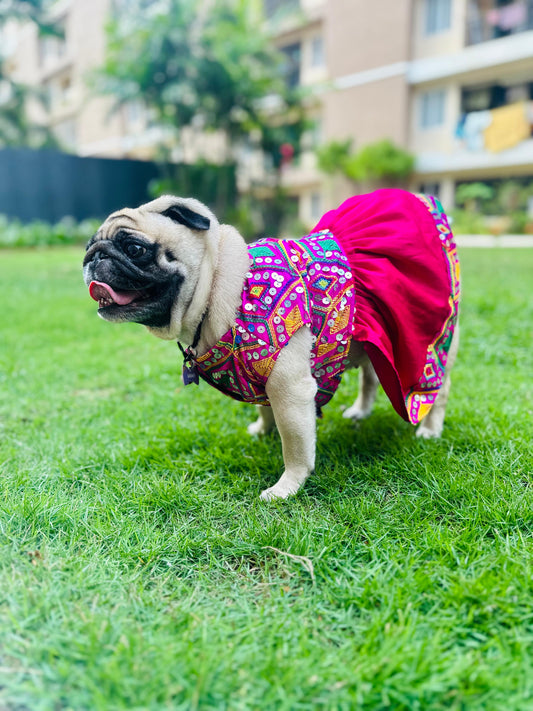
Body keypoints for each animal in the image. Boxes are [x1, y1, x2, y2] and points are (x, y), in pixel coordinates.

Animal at [83, 189, 458, 500]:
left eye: (135, 249)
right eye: (89, 246)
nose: (93, 257)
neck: (221, 286)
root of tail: (423, 200)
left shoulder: (290, 390)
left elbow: (295, 445)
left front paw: (287, 487)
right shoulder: (258, 375)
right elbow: (263, 407)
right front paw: (262, 429)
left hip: (438, 344)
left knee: (438, 388)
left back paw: (429, 428)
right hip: (372, 340)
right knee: (371, 375)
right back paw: (361, 410)